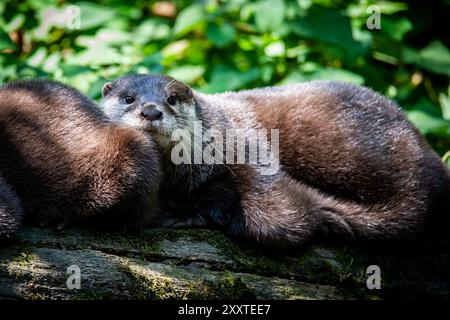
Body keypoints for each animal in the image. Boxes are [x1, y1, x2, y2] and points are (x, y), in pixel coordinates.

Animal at [101, 74, 450, 248]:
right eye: (129, 98)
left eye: (172, 99)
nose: (151, 110)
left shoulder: (246, 147)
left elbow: (280, 219)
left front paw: (183, 216)